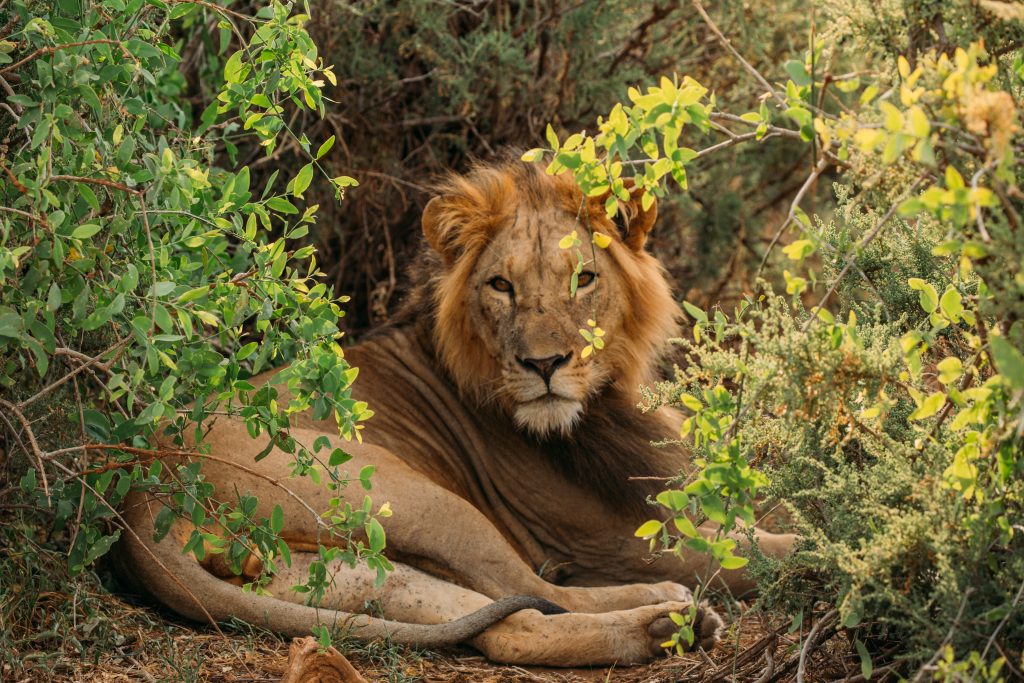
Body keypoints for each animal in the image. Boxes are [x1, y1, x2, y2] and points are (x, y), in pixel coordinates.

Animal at [116, 158, 794, 667]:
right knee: (534, 590)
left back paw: (666, 629)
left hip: (353, 571)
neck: (604, 399)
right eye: (501, 286)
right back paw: (670, 606)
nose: (544, 364)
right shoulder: (615, 541)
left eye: (583, 279)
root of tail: (141, 498)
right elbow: (766, 552)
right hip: (420, 499)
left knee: (508, 627)